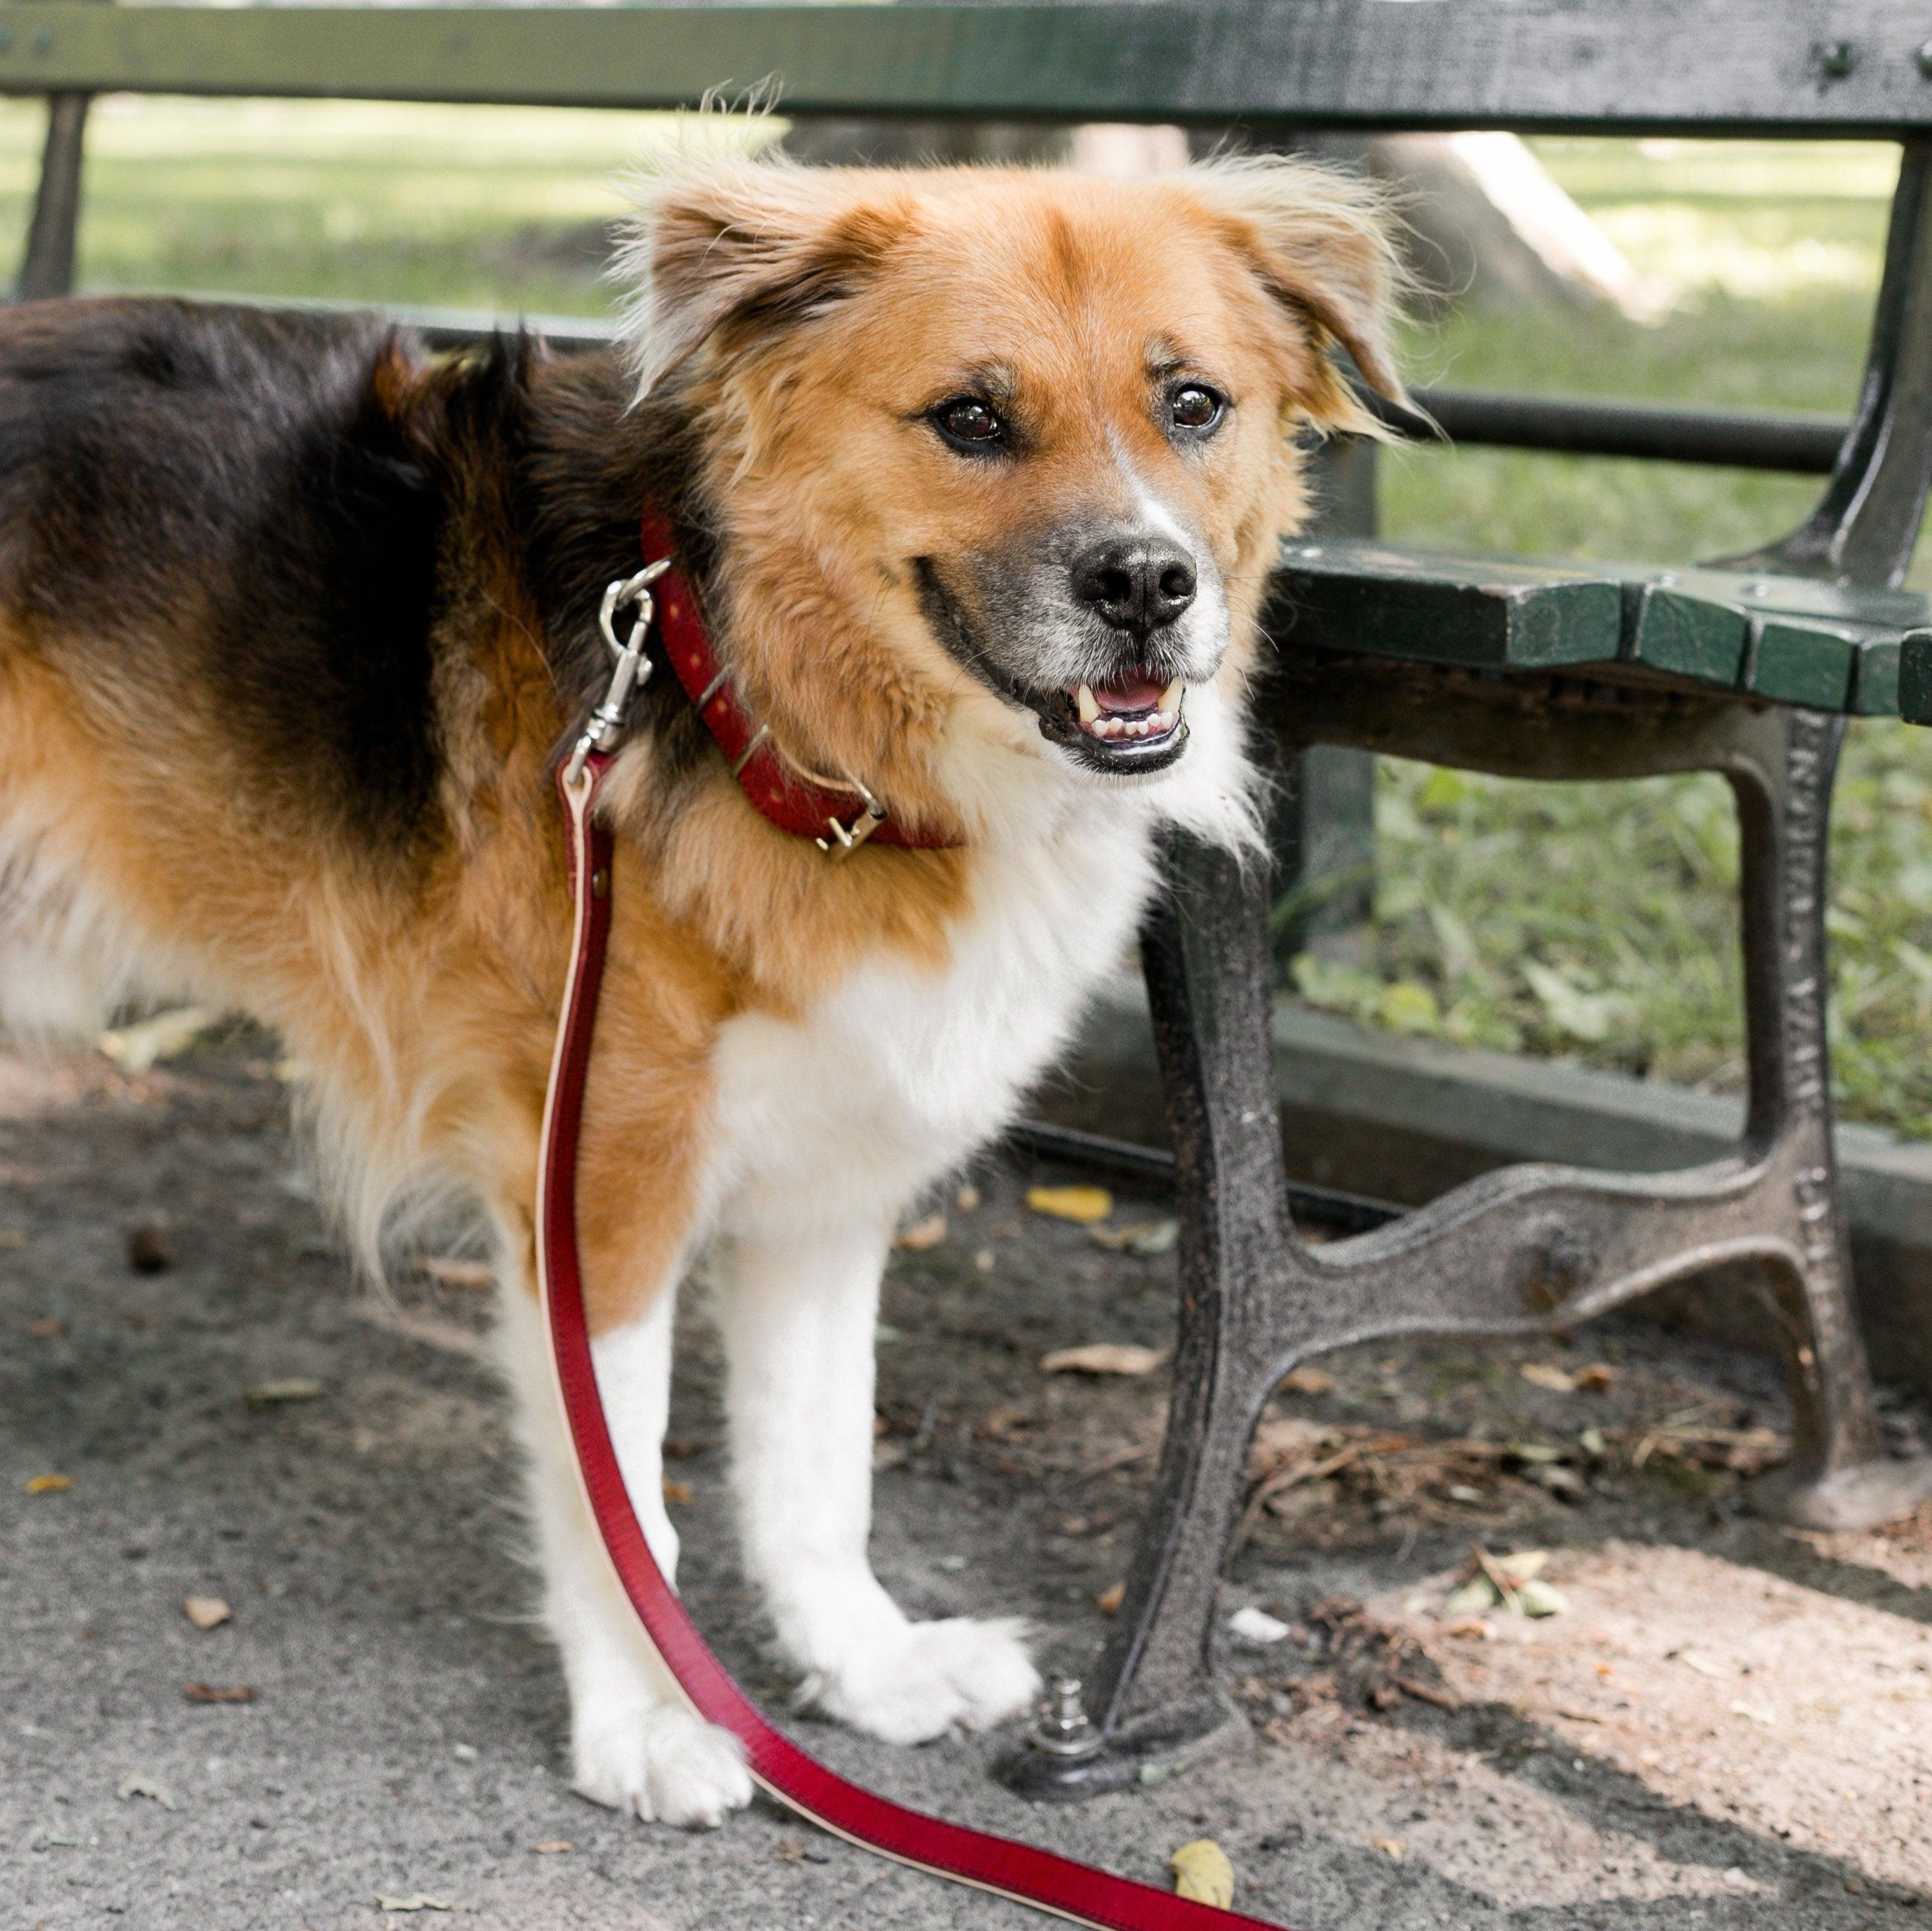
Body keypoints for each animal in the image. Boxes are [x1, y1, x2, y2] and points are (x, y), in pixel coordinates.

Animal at [0, 147, 1398, 1823]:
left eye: (1192, 404)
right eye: (970, 418)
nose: (1146, 584)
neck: (755, 706)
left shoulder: (829, 1181)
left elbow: (815, 1471)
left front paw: (861, 1668)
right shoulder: (600, 1179)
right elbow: (628, 1499)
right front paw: (651, 1718)